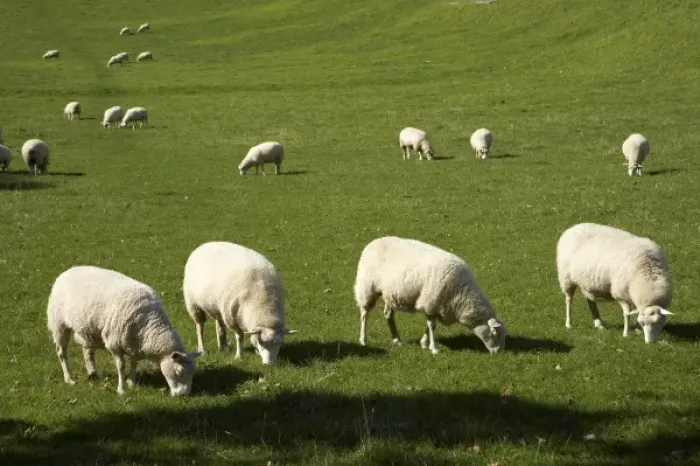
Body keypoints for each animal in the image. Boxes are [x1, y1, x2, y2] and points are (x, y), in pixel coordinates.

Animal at [47, 266, 202, 396]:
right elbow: (121, 366)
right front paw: (122, 389)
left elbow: (134, 363)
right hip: (59, 324)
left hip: (89, 331)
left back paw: (93, 375)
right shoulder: (114, 344)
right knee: (61, 352)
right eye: (179, 372)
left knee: (87, 353)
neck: (149, 325)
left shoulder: (135, 344)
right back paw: (69, 379)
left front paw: (132, 382)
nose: (184, 395)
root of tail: (68, 271)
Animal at [354, 236, 507, 354]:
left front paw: (424, 343)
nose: (499, 352)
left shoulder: (435, 306)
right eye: (495, 333)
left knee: (388, 315)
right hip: (367, 287)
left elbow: (429, 326)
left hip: (390, 294)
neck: (462, 295)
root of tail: (373, 242)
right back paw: (363, 339)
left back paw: (397, 339)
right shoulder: (431, 302)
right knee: (364, 314)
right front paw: (434, 349)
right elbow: (432, 326)